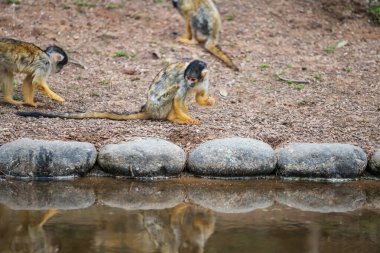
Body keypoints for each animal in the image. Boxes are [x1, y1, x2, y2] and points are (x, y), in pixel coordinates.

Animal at [17, 60, 215, 125]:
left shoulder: (204, 81)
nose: (189, 82)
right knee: (174, 93)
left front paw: (208, 101)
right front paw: (189, 119)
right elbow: (179, 98)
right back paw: (174, 118)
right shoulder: (182, 82)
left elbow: (198, 96)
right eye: (188, 78)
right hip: (158, 107)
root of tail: (148, 109)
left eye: (193, 79)